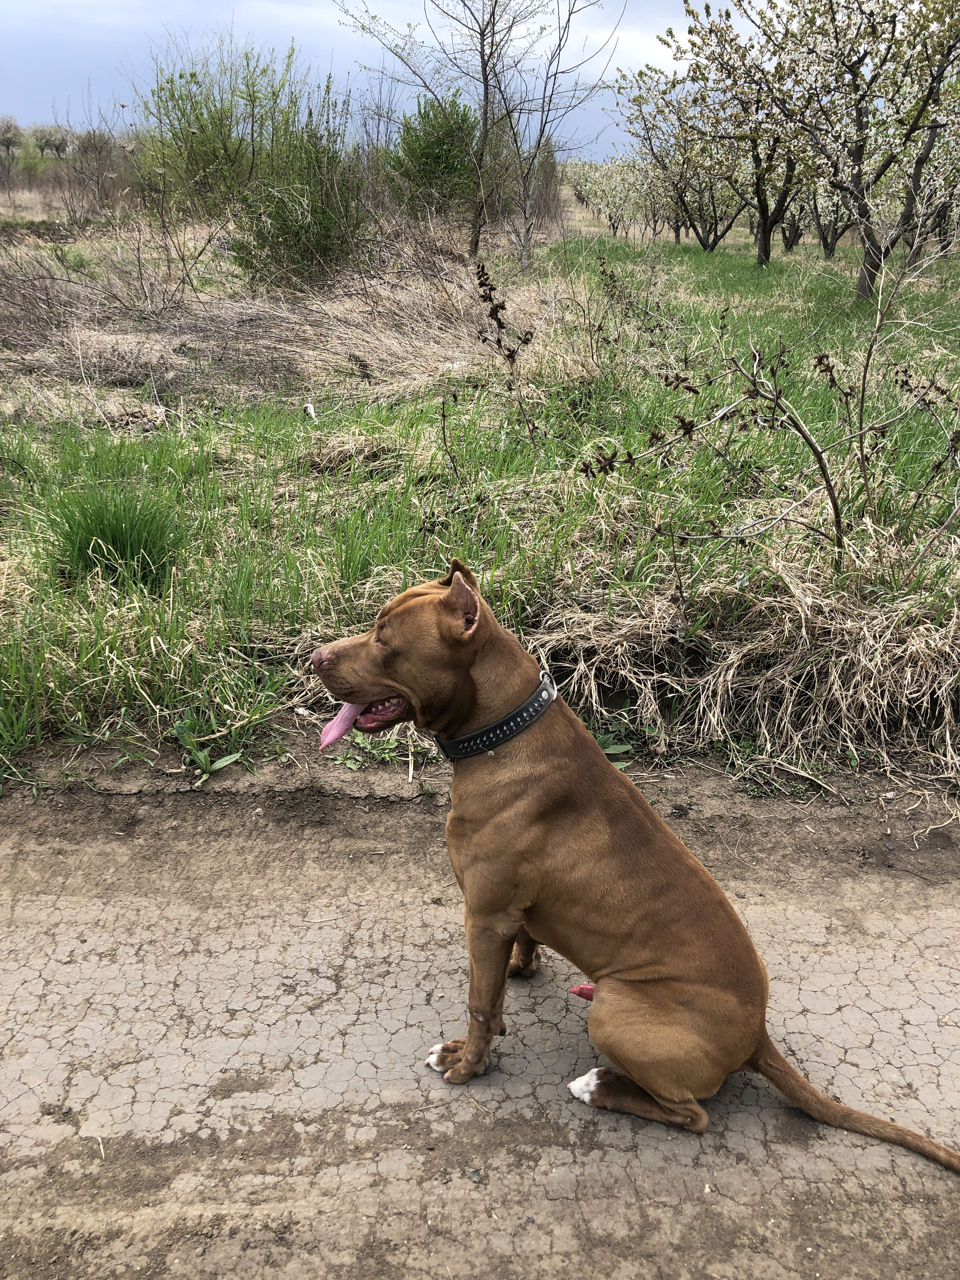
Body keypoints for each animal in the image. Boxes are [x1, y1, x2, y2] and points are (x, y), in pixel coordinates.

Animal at [313, 555, 960, 1172]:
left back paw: (600, 1088)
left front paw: (469, 1064)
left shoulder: (485, 915)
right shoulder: (506, 915)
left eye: (383, 639)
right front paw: (519, 974)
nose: (315, 656)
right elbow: (514, 958)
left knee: (692, 1115)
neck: (502, 732)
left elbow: (478, 1003)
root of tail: (757, 1037)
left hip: (617, 1009)